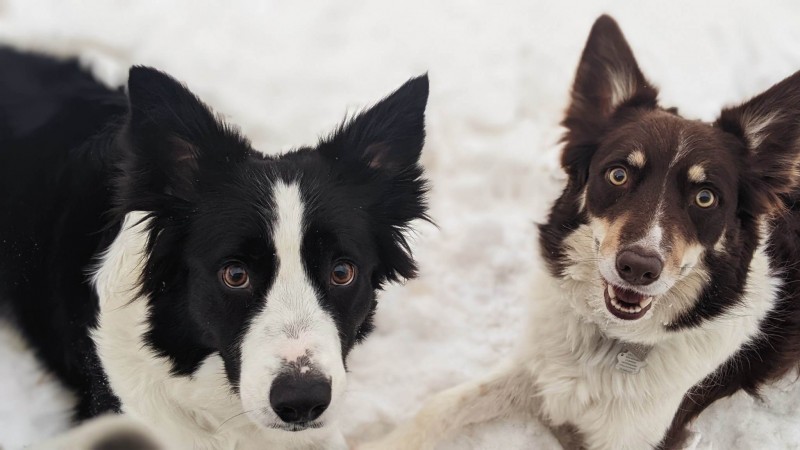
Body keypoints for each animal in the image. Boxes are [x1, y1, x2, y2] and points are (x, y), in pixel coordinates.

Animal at [360, 14, 800, 450]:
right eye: (618, 174)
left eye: (705, 197)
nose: (638, 268)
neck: (610, 341)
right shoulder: (540, 370)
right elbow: (441, 405)